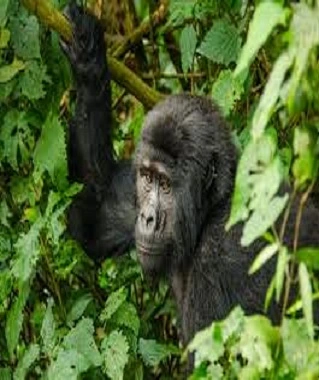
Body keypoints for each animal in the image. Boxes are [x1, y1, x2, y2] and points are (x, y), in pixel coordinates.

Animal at [62, 4, 319, 346]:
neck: (211, 209)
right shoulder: (132, 192)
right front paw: (87, 55)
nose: (147, 218)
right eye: (147, 179)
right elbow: (94, 206)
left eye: (166, 185)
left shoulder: (221, 259)